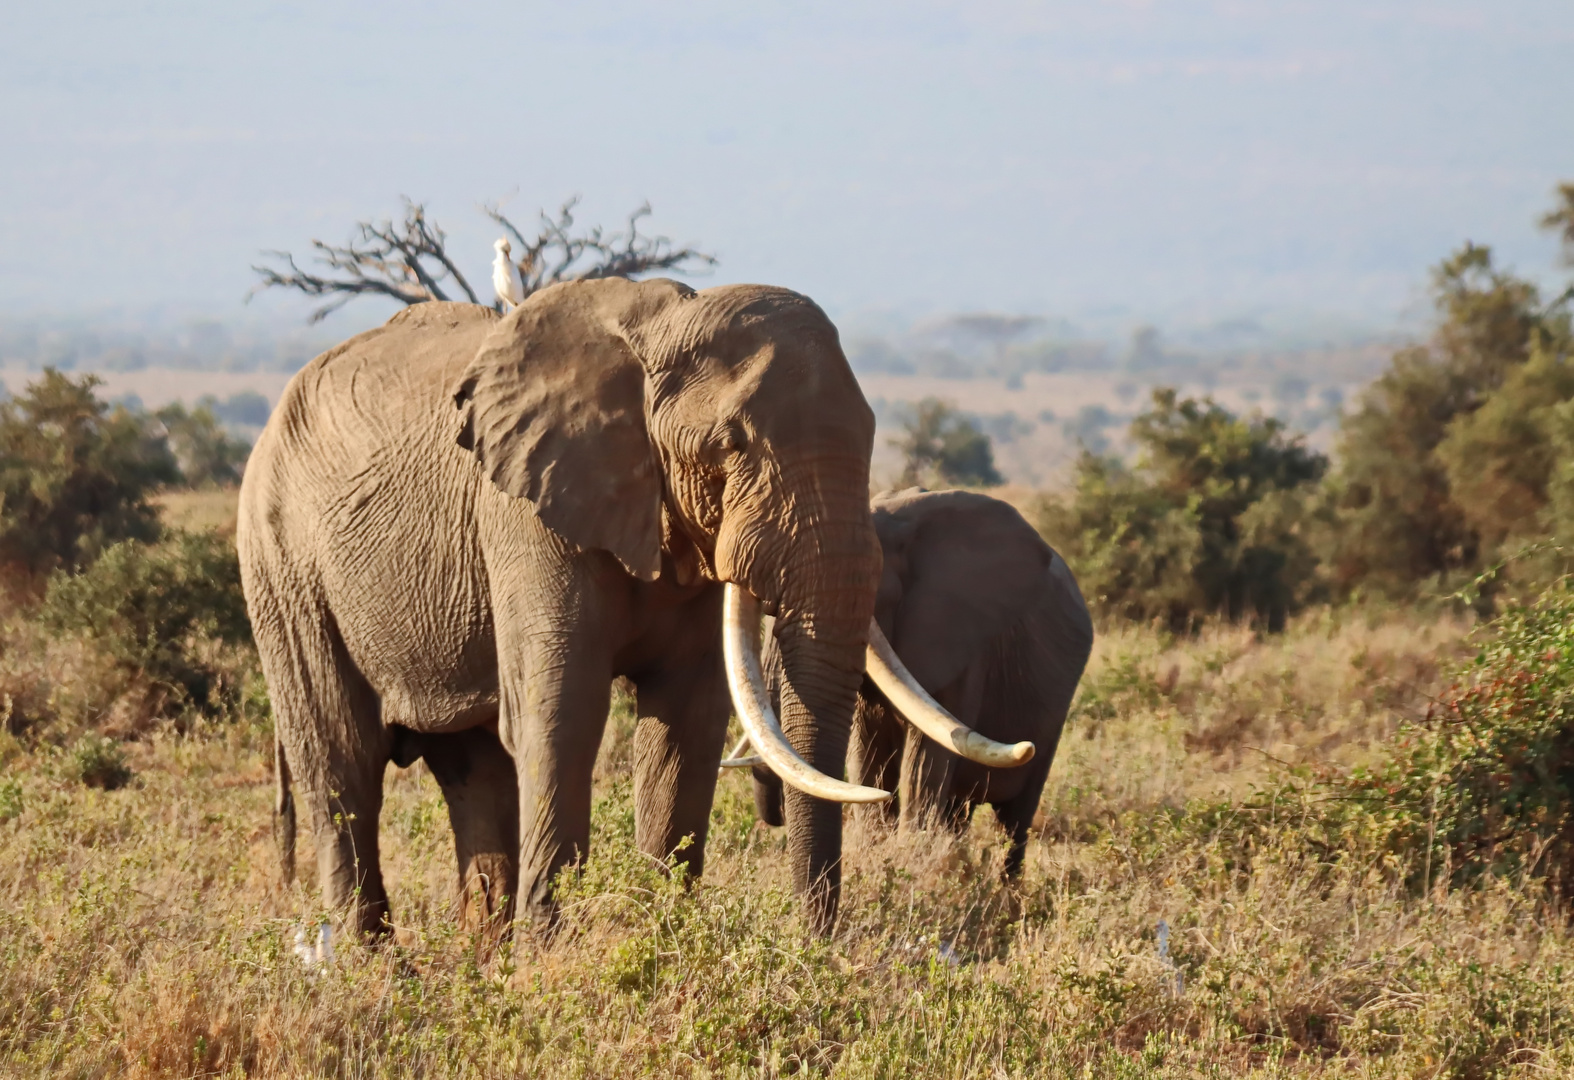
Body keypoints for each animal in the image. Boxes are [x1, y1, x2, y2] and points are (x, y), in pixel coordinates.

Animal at [239, 278, 1013, 938]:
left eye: (874, 433)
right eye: (730, 445)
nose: (817, 943)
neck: (658, 330)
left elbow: (687, 721)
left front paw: (658, 939)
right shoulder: (525, 516)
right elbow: (564, 714)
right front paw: (549, 967)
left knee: (473, 773)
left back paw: (480, 968)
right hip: (282, 567)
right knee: (341, 762)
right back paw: (374, 972)